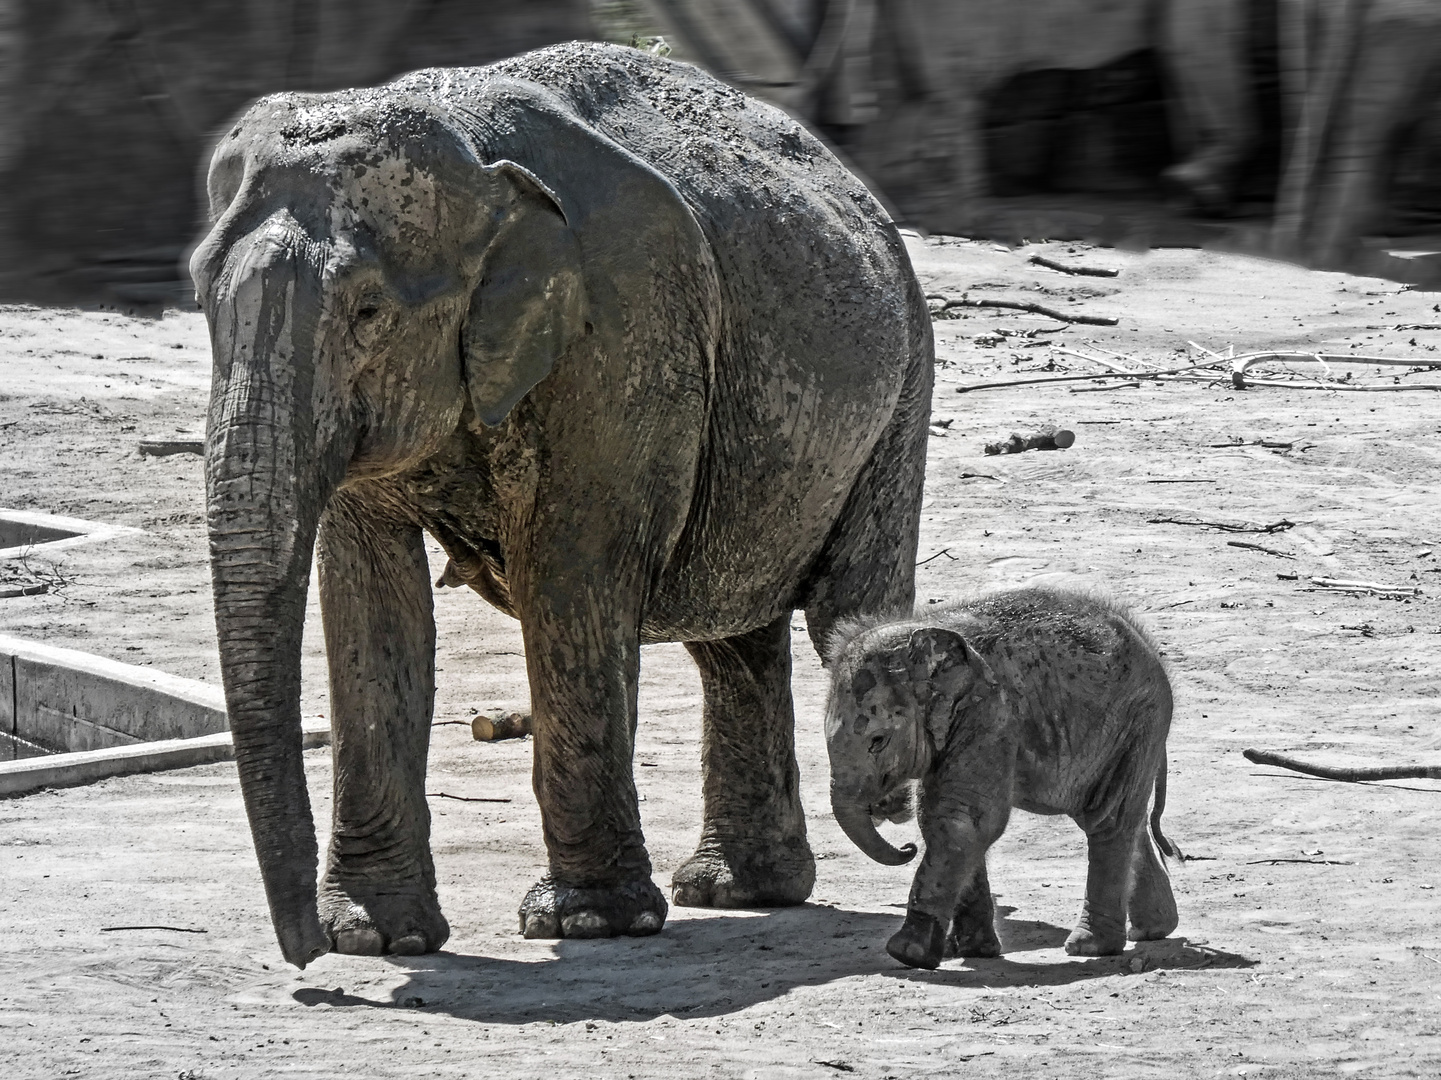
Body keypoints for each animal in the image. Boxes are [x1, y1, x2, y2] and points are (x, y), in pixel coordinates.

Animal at [191, 44, 928, 968]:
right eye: (201, 297)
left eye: (366, 310)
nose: (303, 958)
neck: (475, 164)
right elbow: (371, 600)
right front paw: (374, 937)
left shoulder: (623, 333)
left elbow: (570, 576)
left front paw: (584, 923)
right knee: (731, 637)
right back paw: (737, 891)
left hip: (900, 394)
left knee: (847, 613)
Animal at [824, 585, 1181, 974]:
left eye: (878, 740)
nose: (906, 848)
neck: (927, 630)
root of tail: (1147, 645)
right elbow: (951, 819)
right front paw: (973, 950)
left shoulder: (991, 714)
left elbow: (961, 821)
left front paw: (908, 954)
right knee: (1122, 818)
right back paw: (1152, 930)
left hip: (1136, 722)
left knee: (1107, 820)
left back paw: (1089, 947)